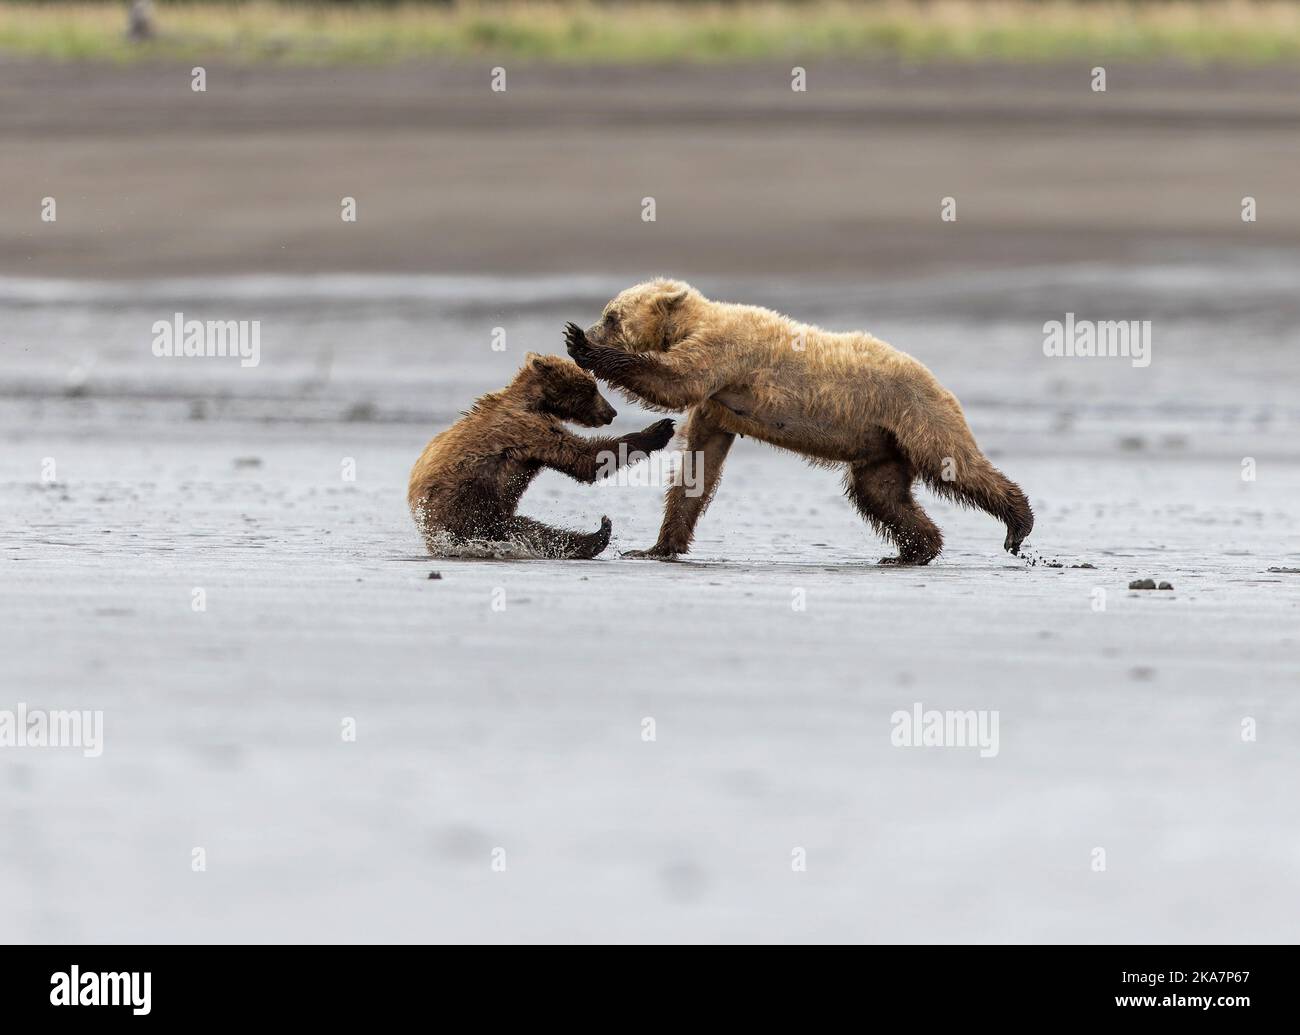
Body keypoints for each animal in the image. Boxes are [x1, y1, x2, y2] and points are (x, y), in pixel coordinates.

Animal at [410, 351, 676, 559]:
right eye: (591, 389)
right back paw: (597, 534)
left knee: (528, 530)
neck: (537, 403)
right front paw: (659, 430)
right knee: (521, 529)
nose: (611, 412)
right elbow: (585, 459)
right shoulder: (528, 429)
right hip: (468, 502)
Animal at [564, 276, 1029, 566]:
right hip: (882, 445)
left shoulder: (726, 355)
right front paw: (654, 548)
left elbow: (672, 381)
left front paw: (582, 345)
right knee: (881, 495)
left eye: (611, 315)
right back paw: (914, 550)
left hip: (915, 413)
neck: (690, 325)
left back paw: (1018, 522)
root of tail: (939, 382)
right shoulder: (716, 406)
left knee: (953, 464)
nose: (592, 327)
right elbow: (698, 466)